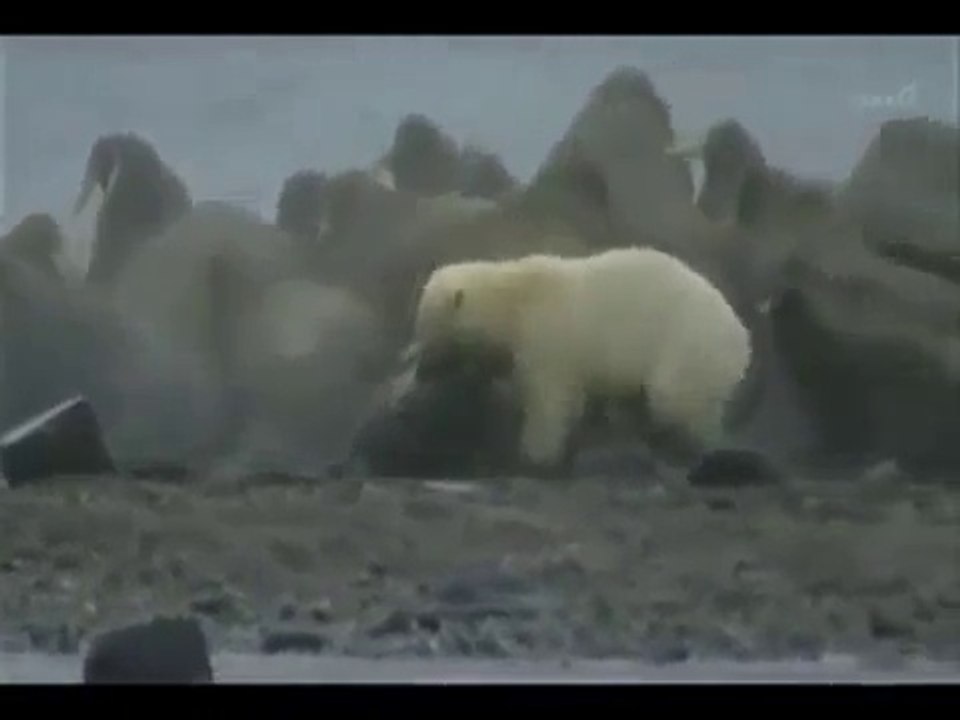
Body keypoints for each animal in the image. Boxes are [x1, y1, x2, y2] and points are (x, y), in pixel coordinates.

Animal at [411, 245, 753, 473]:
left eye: (427, 327)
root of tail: (742, 338)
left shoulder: (548, 339)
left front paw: (535, 456)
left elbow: (549, 401)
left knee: (674, 399)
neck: (514, 300)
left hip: (688, 344)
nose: (421, 371)